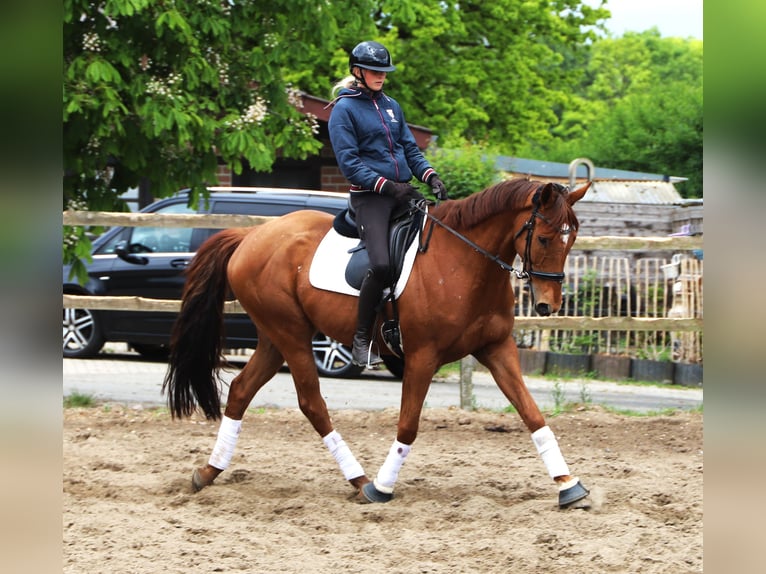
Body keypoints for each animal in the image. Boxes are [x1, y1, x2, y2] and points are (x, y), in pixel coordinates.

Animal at [163, 178, 592, 508]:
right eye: (544, 238)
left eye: (571, 239)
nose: (549, 305)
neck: (464, 263)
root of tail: (250, 234)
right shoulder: (422, 356)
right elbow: (408, 426)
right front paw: (382, 488)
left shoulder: (497, 349)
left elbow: (533, 415)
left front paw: (569, 486)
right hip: (291, 334)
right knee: (311, 403)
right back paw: (360, 481)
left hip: (274, 337)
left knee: (240, 390)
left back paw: (208, 472)